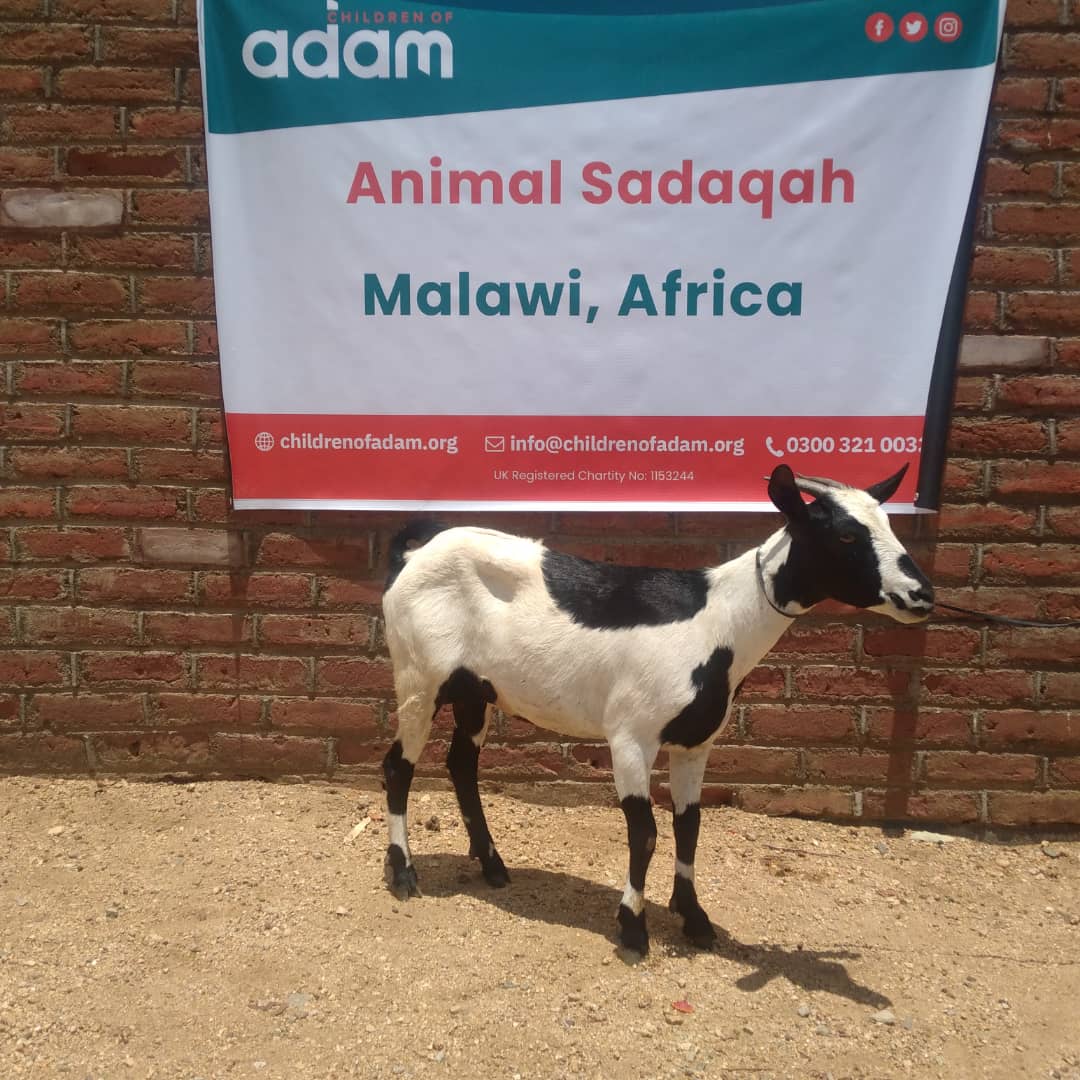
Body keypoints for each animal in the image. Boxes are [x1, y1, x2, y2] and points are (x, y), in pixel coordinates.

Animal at [379, 464, 934, 954]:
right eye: (845, 535)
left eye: (888, 525)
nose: (921, 595)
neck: (719, 623)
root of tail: (418, 550)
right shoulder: (631, 736)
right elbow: (644, 833)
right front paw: (632, 926)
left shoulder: (695, 744)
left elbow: (688, 825)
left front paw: (694, 918)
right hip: (418, 675)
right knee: (398, 766)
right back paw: (403, 872)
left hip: (475, 690)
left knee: (461, 765)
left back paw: (493, 866)